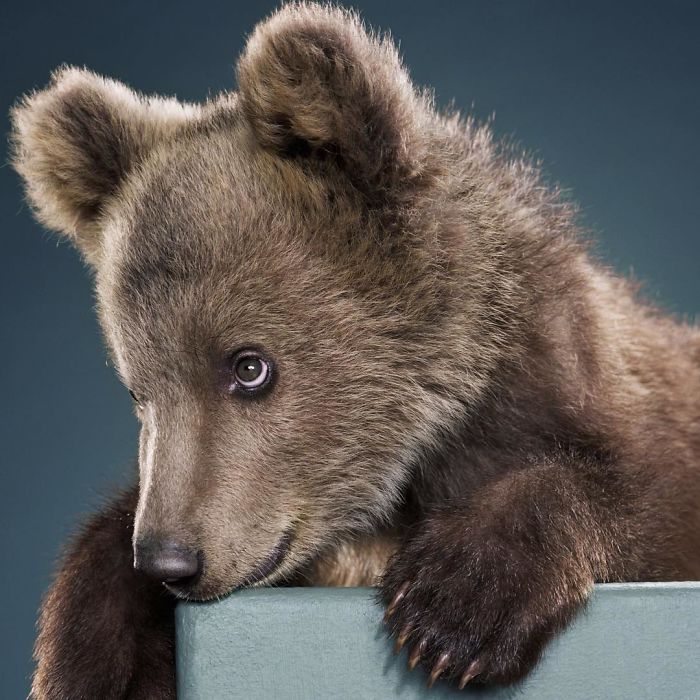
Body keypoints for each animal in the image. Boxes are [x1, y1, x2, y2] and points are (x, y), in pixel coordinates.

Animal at [10, 2, 700, 697]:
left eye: (250, 367)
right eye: (138, 390)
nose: (168, 560)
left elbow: (621, 495)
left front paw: (453, 611)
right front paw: (97, 659)